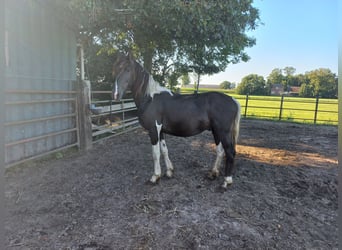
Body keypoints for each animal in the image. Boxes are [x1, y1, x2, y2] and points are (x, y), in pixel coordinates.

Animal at [112, 53, 240, 188]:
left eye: (128, 69)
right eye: (115, 69)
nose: (115, 95)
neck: (150, 98)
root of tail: (232, 99)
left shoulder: (153, 130)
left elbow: (155, 154)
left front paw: (155, 177)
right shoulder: (160, 131)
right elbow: (164, 150)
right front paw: (169, 171)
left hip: (223, 132)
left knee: (230, 152)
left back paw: (226, 181)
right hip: (216, 131)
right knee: (220, 151)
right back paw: (213, 174)